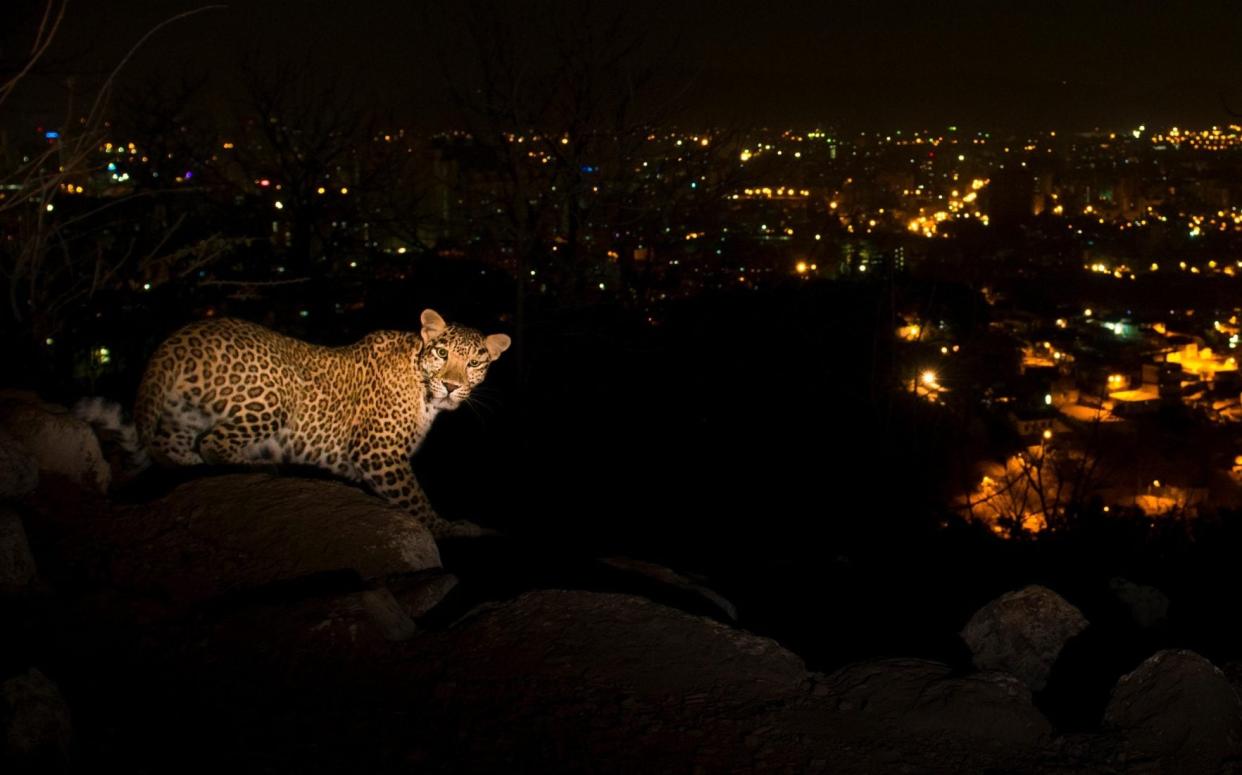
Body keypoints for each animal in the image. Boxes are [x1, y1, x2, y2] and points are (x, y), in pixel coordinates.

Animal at [115, 309, 504, 539]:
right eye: (442, 353)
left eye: (473, 363)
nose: (451, 385)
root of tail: (178, 339)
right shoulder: (379, 452)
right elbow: (415, 499)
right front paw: (450, 528)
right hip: (274, 396)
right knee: (214, 444)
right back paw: (259, 465)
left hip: (181, 416)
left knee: (172, 449)